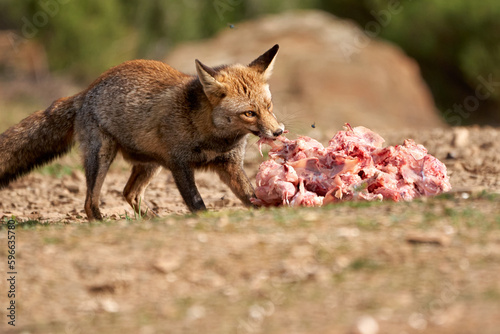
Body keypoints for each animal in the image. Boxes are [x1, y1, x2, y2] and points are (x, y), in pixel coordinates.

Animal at [0, 45, 286, 222]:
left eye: (269, 106)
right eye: (249, 113)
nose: (278, 131)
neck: (214, 137)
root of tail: (84, 91)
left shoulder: (229, 164)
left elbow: (250, 196)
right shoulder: (179, 164)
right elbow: (196, 203)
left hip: (150, 164)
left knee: (129, 193)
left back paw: (150, 220)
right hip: (103, 156)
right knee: (90, 203)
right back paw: (104, 223)